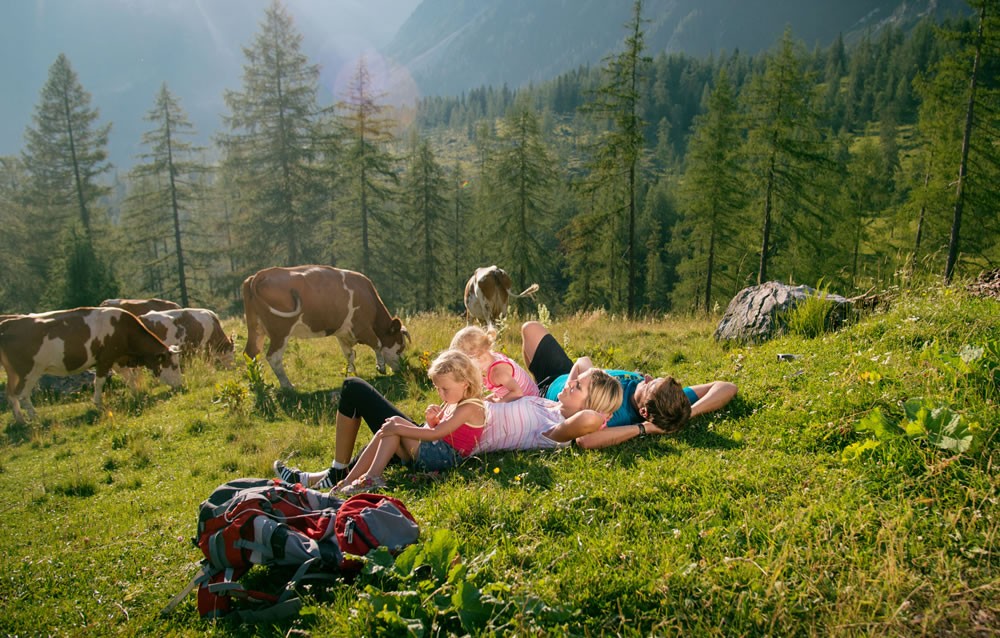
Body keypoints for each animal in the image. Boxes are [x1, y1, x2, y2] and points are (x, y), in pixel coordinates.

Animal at [0, 308, 183, 422]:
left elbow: (129, 377)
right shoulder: (105, 359)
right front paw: (98, 404)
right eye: (174, 366)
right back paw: (35, 418)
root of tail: (9, 323)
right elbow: (99, 381)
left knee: (10, 394)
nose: (181, 386)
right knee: (21, 395)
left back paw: (21, 420)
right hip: (29, 371)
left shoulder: (117, 359)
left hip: (13, 372)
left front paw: (137, 393)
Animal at [240, 266, 408, 390]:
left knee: (251, 353)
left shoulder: (343, 333)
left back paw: (257, 384)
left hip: (256, 329)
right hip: (280, 332)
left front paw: (352, 373)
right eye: (400, 347)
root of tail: (260, 274)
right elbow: (377, 344)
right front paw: (381, 367)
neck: (368, 296)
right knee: (273, 357)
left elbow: (349, 354)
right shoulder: (362, 327)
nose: (402, 368)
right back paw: (288, 385)